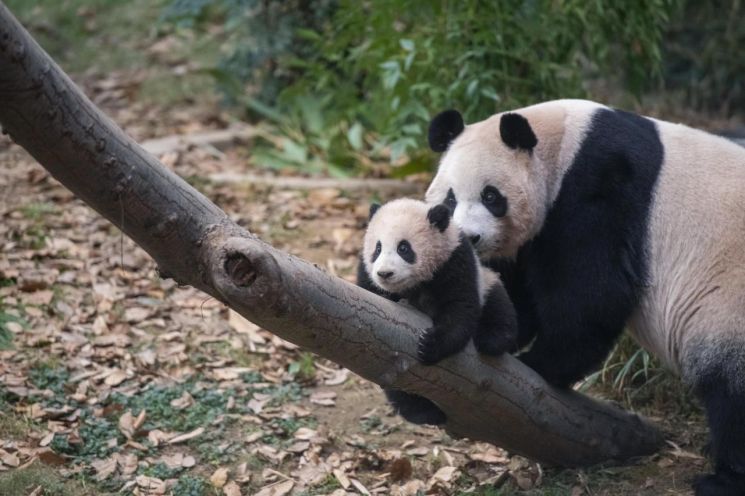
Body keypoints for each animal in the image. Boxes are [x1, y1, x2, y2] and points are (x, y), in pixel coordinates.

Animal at [357, 198, 517, 425]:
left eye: (403, 248)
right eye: (377, 249)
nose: (384, 273)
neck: (414, 285)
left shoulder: (454, 261)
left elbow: (460, 307)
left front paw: (430, 345)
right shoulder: (367, 276)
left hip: (486, 282)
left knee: (498, 308)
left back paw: (491, 339)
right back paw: (424, 412)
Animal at [425, 99, 745, 496]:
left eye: (490, 196)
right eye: (450, 198)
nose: (470, 237)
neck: (563, 144)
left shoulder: (599, 189)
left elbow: (594, 294)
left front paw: (540, 363)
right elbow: (518, 295)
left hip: (729, 300)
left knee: (731, 391)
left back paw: (722, 479)